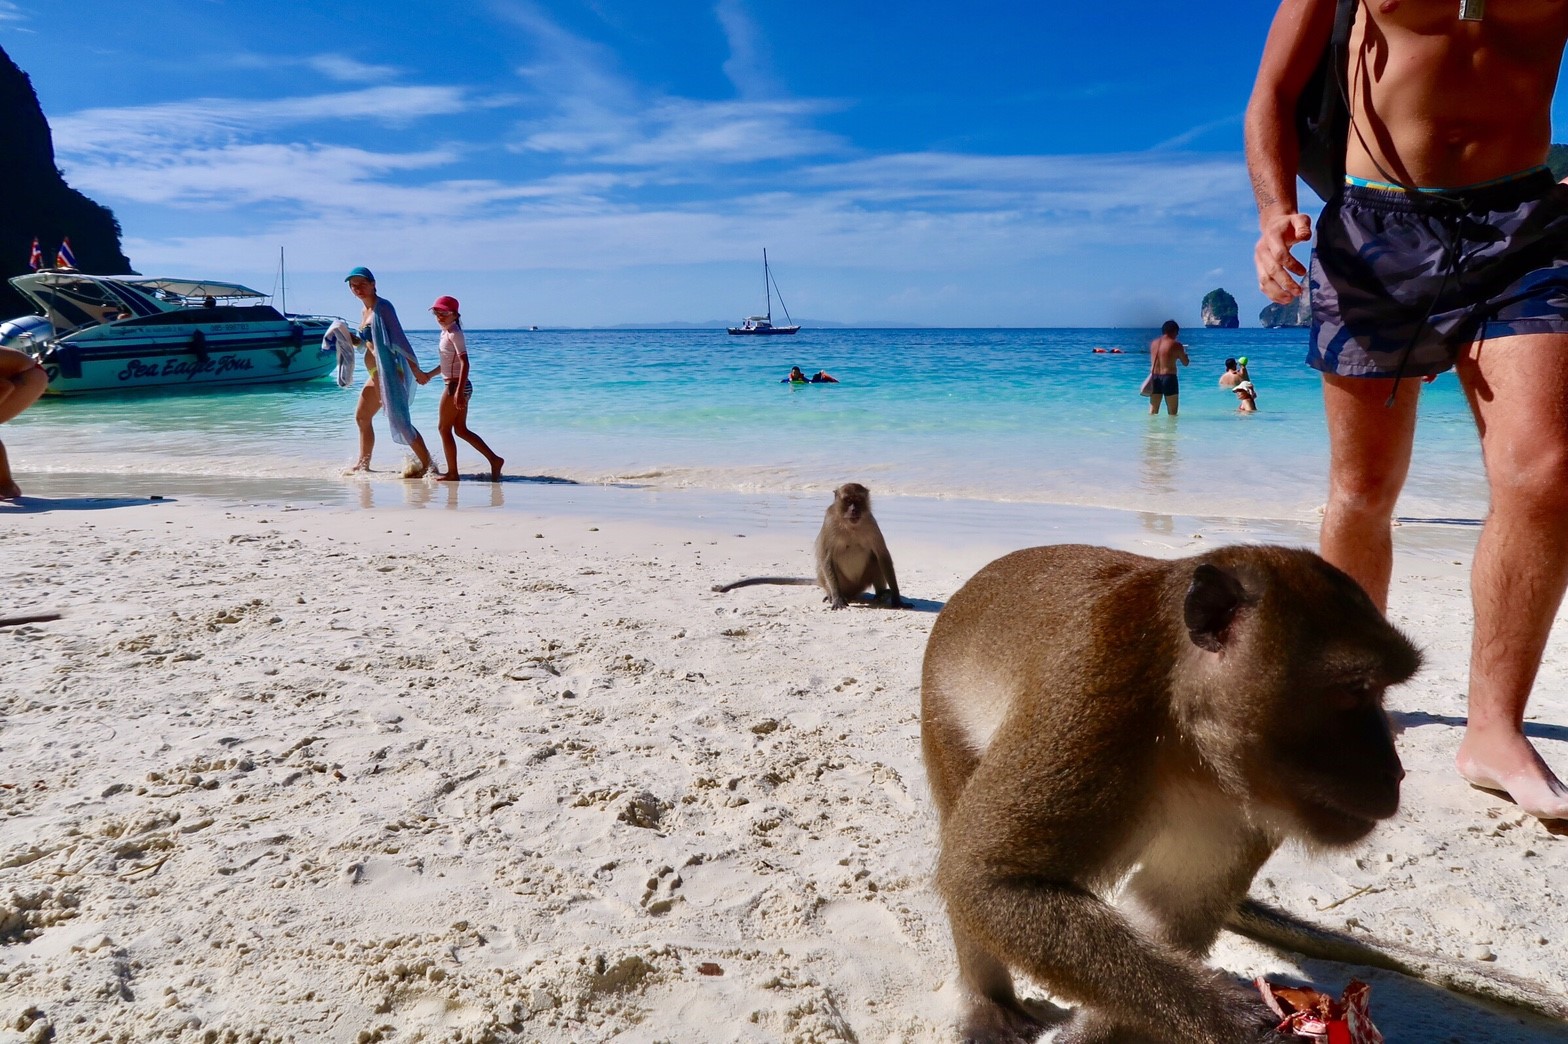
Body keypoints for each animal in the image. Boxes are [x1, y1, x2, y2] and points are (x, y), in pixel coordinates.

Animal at [711, 482, 909, 605]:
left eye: (858, 501)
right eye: (847, 501)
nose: (854, 510)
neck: (850, 525)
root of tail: (853, 592)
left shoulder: (870, 523)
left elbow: (882, 555)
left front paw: (896, 598)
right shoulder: (830, 523)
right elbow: (826, 557)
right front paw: (836, 598)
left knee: (875, 559)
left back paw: (880, 594)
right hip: (840, 583)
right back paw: (832, 594)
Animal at [915, 539, 1423, 1034]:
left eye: (1378, 690)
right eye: (1355, 690)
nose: (1393, 772)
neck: (1184, 727)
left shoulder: (1244, 805)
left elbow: (1169, 913)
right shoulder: (1097, 694)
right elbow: (984, 881)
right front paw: (1232, 1020)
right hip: (942, 709)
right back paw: (990, 1002)